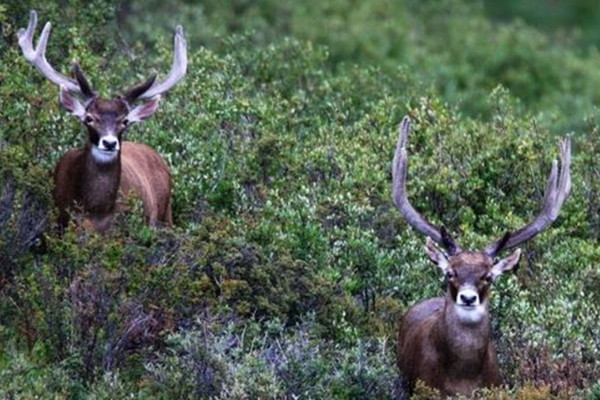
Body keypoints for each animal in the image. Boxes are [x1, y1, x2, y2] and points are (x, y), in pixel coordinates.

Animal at [17, 10, 186, 233]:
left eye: (125, 121)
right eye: (89, 118)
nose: (109, 142)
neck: (95, 212)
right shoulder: (57, 222)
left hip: (166, 216)